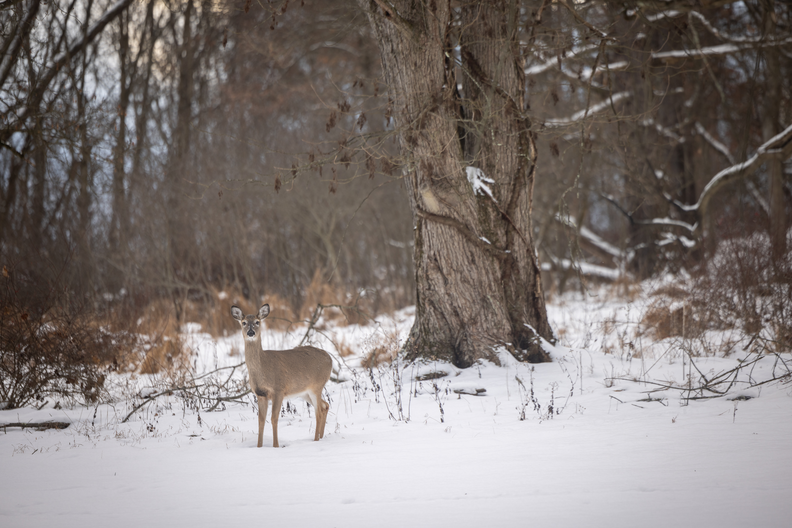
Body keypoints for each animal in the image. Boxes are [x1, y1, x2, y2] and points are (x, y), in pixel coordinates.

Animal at [235, 304, 334, 448]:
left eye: (257, 322)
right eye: (244, 322)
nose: (251, 332)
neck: (263, 367)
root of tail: (330, 359)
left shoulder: (278, 390)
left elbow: (274, 418)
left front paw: (276, 446)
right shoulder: (260, 394)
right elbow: (261, 420)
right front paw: (259, 447)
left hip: (316, 386)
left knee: (319, 411)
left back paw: (316, 440)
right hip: (304, 392)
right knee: (325, 405)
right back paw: (320, 437)